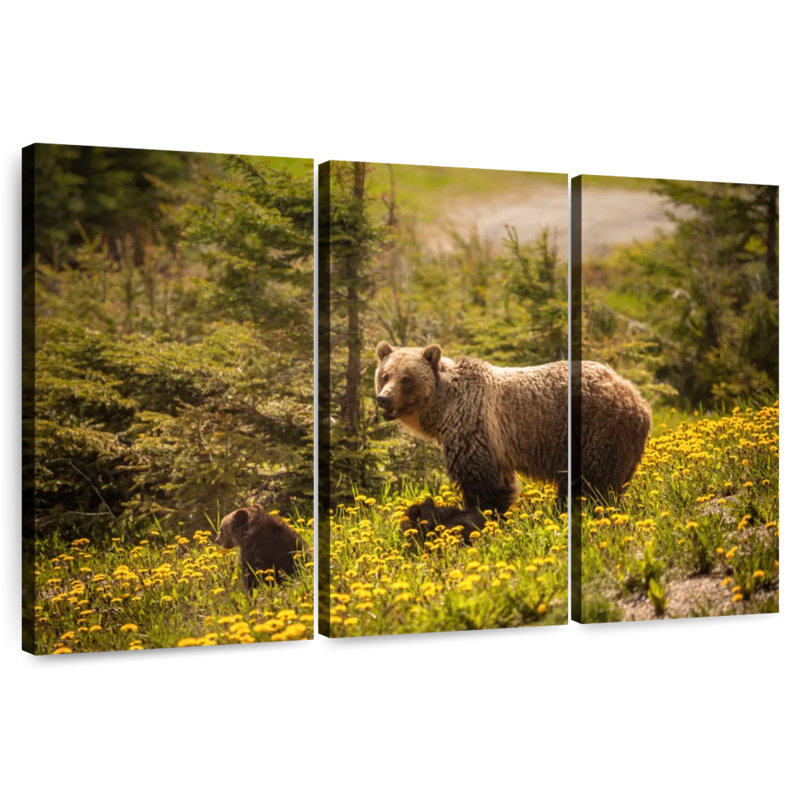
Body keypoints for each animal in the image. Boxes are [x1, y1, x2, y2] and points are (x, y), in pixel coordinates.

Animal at [375, 341, 651, 540]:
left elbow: (481, 484)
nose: (383, 398)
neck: (443, 408)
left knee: (592, 484)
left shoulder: (473, 427)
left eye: (406, 378)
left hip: (596, 430)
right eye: (385, 375)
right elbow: (502, 484)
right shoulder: (495, 445)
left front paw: (478, 516)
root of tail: (638, 399)